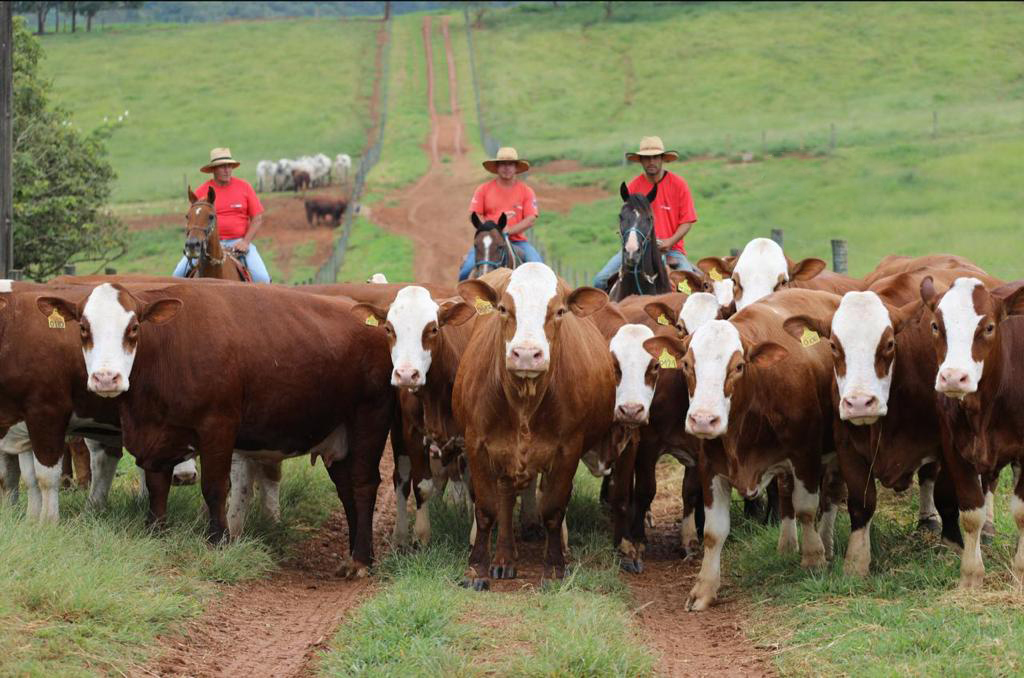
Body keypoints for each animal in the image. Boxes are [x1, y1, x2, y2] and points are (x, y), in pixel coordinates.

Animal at [36, 284, 395, 577]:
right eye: (83, 328)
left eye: (134, 327)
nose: (106, 378)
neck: (166, 351)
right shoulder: (155, 437)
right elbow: (157, 487)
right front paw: (156, 532)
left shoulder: (217, 426)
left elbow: (214, 487)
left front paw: (218, 540)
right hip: (338, 434)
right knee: (347, 489)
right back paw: (359, 552)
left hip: (370, 418)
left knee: (364, 485)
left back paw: (360, 560)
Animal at [458, 264, 614, 589]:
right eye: (503, 309)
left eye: (560, 311)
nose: (527, 354)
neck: (524, 403)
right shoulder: (477, 444)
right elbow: (486, 509)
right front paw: (476, 569)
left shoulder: (568, 451)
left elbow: (553, 510)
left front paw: (554, 568)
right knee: (505, 497)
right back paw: (504, 559)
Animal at [643, 288, 843, 614]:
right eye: (686, 364)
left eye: (738, 366)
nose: (703, 419)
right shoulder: (711, 468)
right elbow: (714, 532)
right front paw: (704, 588)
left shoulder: (805, 456)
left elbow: (806, 509)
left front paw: (814, 560)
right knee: (785, 494)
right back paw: (787, 544)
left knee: (831, 497)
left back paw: (826, 544)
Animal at [917, 276, 1024, 589]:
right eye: (935, 325)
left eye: (988, 327)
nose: (954, 377)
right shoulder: (954, 449)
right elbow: (970, 512)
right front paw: (971, 575)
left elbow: (1021, 512)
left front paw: (1020, 571)